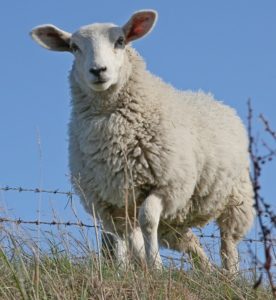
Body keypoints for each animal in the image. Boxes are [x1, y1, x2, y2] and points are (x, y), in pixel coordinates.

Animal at [30, 9, 254, 274]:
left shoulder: (167, 185)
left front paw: (155, 266)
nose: (98, 70)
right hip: (176, 220)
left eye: (120, 41)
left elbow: (146, 220)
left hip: (235, 198)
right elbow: (129, 236)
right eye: (74, 47)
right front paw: (139, 268)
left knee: (228, 242)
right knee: (191, 244)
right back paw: (208, 272)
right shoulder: (111, 204)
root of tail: (208, 97)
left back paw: (230, 275)